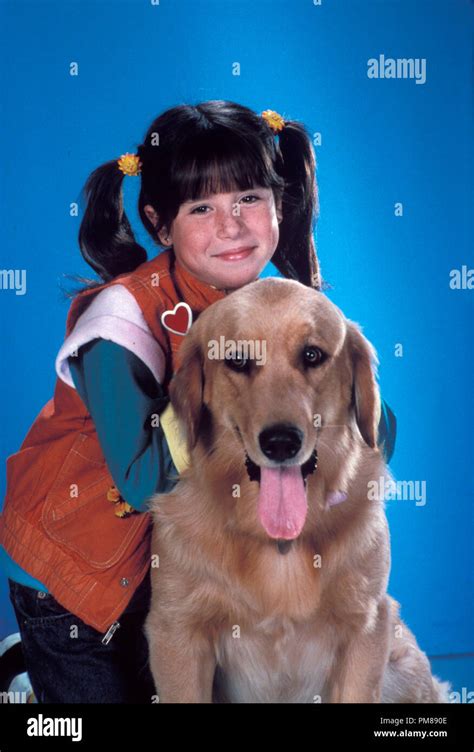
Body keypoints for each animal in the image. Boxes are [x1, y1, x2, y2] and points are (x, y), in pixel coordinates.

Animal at [146, 278, 450, 704]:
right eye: (237, 360)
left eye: (312, 355)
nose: (280, 442)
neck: (277, 544)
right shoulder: (176, 631)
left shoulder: (366, 624)